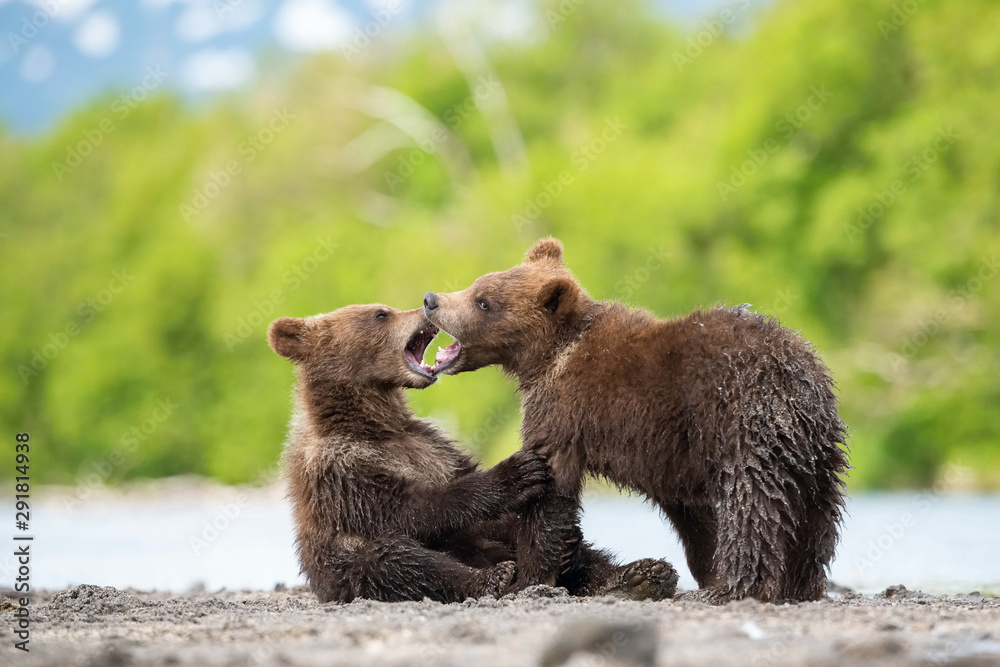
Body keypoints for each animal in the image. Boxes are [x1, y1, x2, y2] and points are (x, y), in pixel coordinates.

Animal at [268, 303, 678, 603]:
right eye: (380, 313)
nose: (424, 308)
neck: (374, 425)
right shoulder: (341, 469)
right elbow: (408, 511)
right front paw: (516, 471)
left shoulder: (431, 445)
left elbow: (472, 492)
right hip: (350, 572)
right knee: (396, 562)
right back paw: (492, 578)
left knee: (582, 554)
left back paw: (637, 575)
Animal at [422, 238, 849, 602]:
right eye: (478, 285)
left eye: (483, 302)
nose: (431, 300)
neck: (548, 356)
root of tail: (795, 377)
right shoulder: (671, 459)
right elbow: (693, 515)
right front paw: (705, 568)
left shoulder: (565, 410)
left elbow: (551, 488)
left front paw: (527, 579)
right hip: (817, 447)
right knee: (816, 513)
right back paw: (801, 584)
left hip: (739, 424)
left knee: (750, 504)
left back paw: (739, 586)